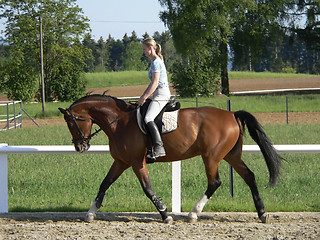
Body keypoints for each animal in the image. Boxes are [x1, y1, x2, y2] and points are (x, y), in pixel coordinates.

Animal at [58, 93, 282, 223]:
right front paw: (91, 212)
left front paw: (165, 213)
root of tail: (231, 114)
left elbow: (147, 189)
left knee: (215, 182)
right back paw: (262, 213)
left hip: (211, 156)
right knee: (249, 176)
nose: (80, 146)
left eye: (71, 122)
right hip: (230, 155)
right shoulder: (121, 162)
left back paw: (193, 214)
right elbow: (104, 184)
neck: (119, 122)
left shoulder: (137, 162)